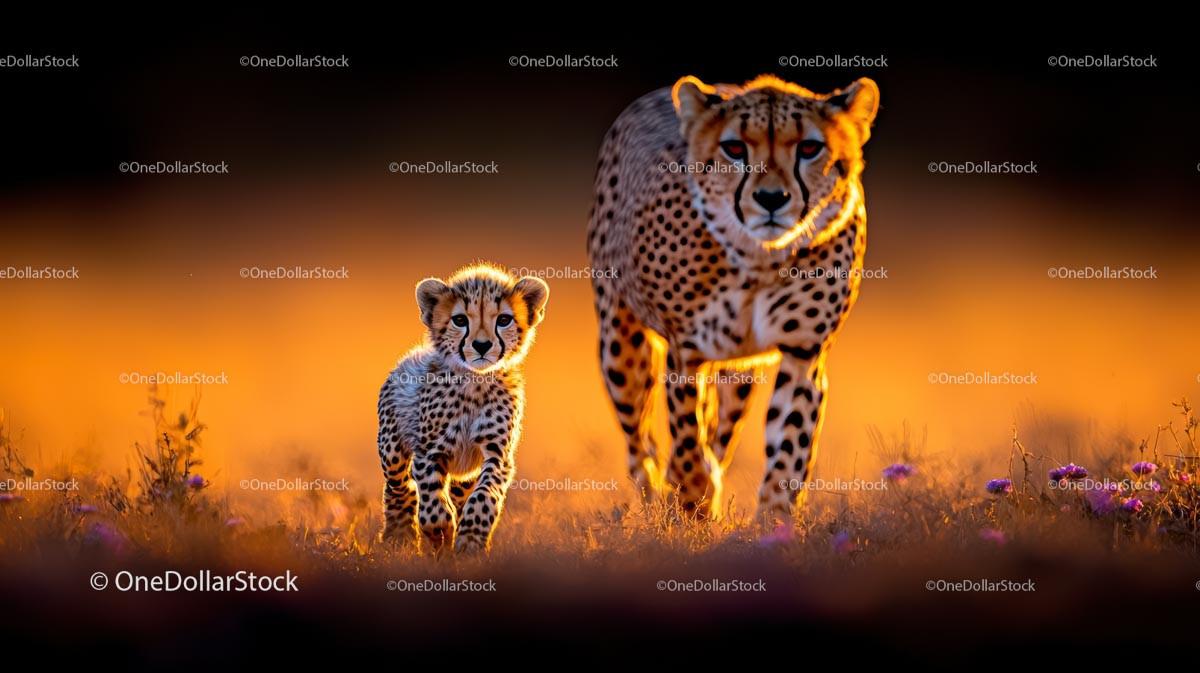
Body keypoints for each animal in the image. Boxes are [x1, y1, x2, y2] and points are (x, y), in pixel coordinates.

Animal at [586, 74, 879, 525]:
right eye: (735, 149)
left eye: (810, 148)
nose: (771, 198)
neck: (759, 258)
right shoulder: (687, 351)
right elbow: (687, 437)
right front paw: (692, 503)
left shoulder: (803, 352)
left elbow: (788, 444)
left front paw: (773, 522)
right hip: (620, 346)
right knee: (640, 442)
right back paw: (657, 495)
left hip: (739, 374)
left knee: (720, 430)